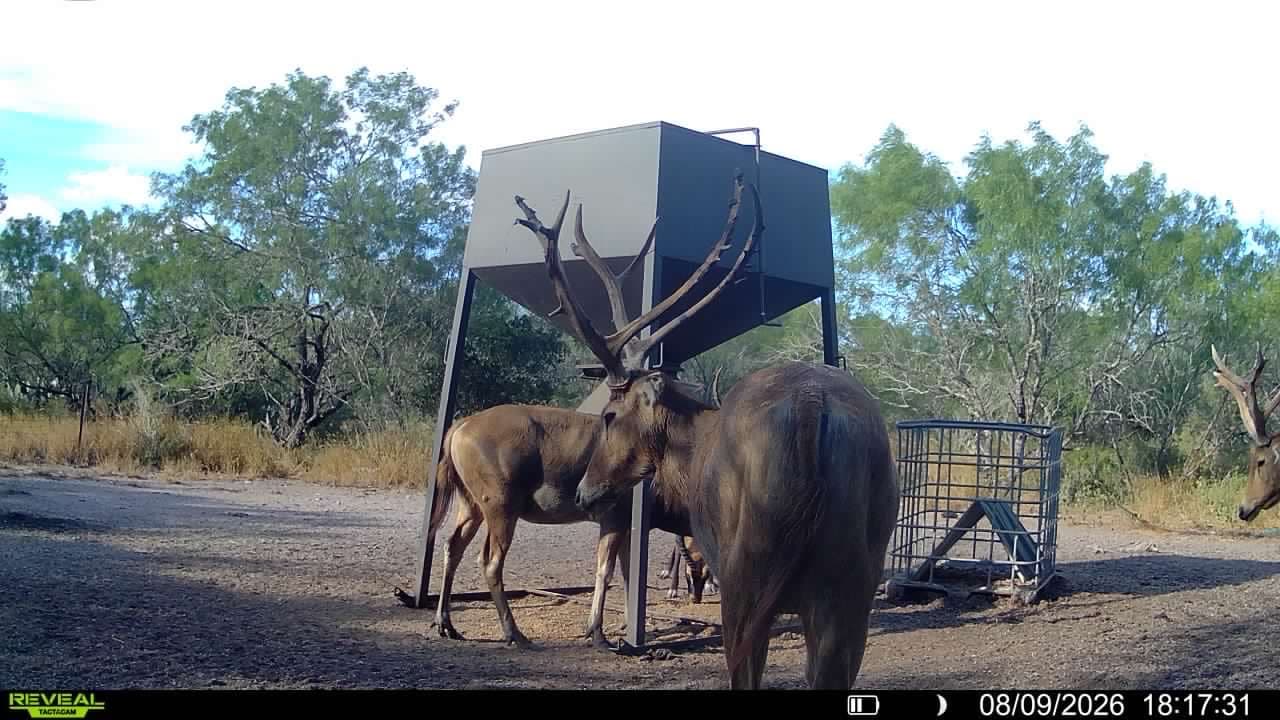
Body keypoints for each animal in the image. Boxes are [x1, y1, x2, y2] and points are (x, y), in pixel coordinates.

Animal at [513, 172, 901, 689]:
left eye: (610, 415)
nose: (585, 491)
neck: (691, 452)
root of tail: (809, 405)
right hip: (851, 583)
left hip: (748, 572)